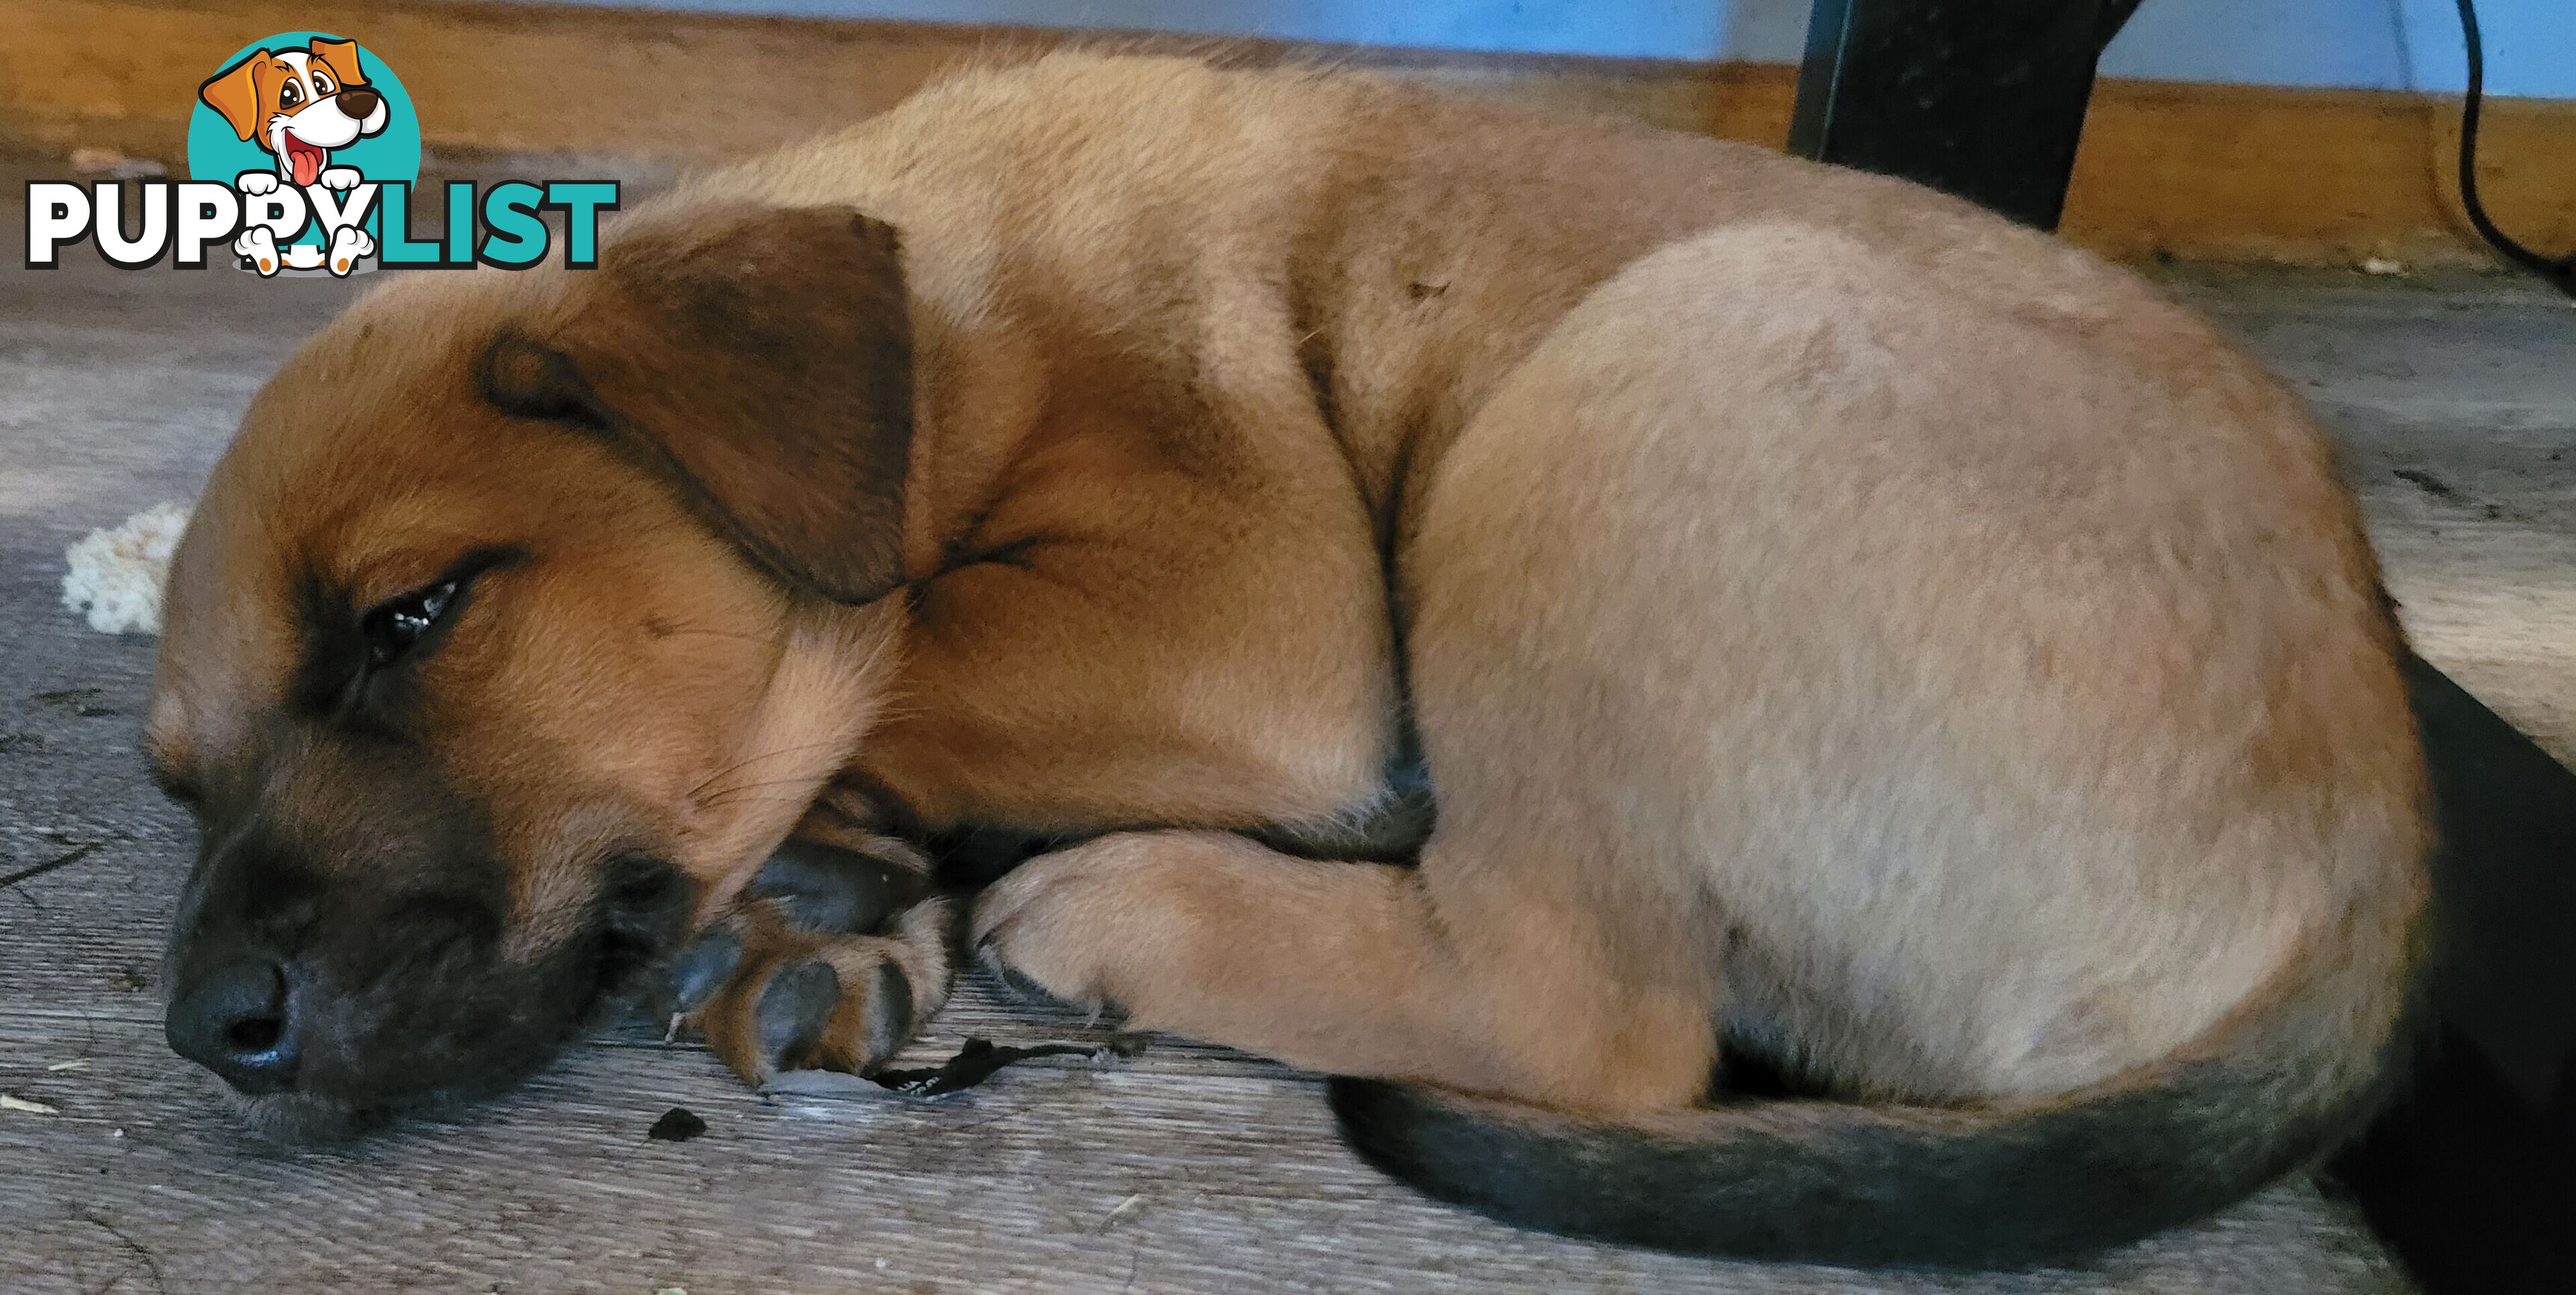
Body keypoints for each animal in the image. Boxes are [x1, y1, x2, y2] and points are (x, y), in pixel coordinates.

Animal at [150, 53, 2421, 1266]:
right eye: (178, 781)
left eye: (414, 616)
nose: (206, 1031)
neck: (964, 332)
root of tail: (2374, 873)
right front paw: (835, 907)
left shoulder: (1243, 607)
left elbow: (885, 649)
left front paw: (834, 859)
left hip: (1657, 362)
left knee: (1579, 1009)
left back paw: (1113, 907)